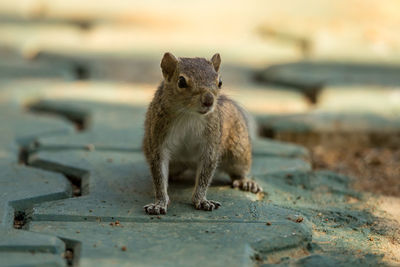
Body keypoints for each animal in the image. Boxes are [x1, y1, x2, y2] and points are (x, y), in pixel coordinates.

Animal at [144, 52, 262, 216]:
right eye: (181, 81)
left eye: (220, 82)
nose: (208, 100)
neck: (189, 114)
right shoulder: (158, 138)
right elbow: (159, 173)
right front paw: (160, 203)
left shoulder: (211, 142)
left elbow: (205, 174)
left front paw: (201, 200)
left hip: (238, 152)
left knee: (238, 171)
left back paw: (245, 182)